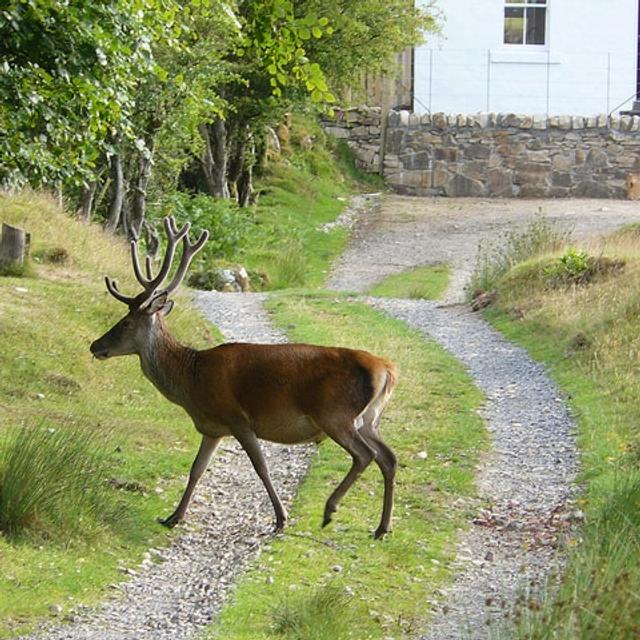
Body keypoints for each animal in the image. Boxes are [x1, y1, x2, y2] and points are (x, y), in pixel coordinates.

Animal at [90, 217, 398, 539]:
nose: (95, 346)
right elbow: (197, 469)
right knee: (388, 457)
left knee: (365, 455)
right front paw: (173, 516)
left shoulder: (237, 416)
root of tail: (387, 369)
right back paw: (382, 527)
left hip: (335, 414)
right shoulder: (212, 428)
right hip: (369, 419)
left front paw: (281, 518)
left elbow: (260, 466)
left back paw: (330, 509)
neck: (191, 381)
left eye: (125, 322)